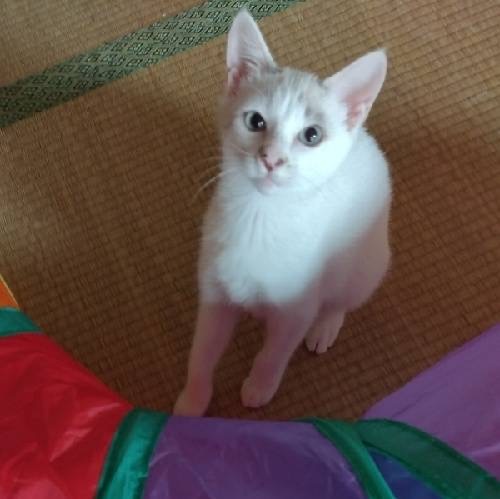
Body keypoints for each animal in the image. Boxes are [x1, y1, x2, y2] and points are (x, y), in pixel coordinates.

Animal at [174, 9, 391, 416]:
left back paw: (326, 326)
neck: (259, 215)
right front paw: (192, 401)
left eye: (312, 135)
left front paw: (259, 386)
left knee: (342, 297)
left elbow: (274, 352)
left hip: (367, 263)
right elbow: (202, 351)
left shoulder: (296, 309)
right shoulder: (214, 294)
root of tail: (366, 137)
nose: (271, 159)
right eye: (255, 121)